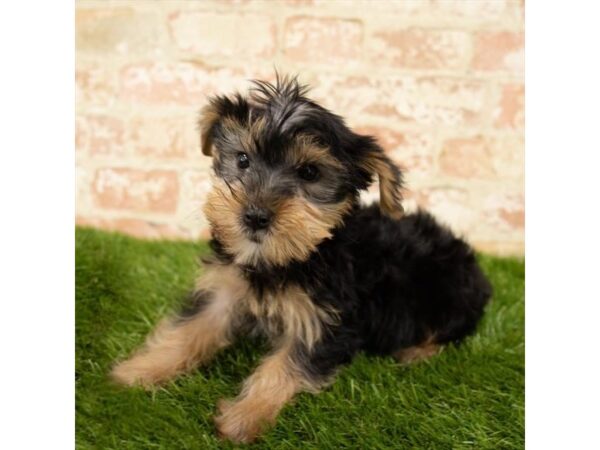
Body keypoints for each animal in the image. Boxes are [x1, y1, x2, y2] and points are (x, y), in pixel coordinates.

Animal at [112, 74, 492, 442]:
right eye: (242, 160)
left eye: (310, 172)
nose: (254, 216)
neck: (286, 258)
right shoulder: (224, 290)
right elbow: (188, 329)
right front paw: (138, 372)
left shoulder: (326, 319)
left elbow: (285, 366)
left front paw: (243, 419)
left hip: (447, 291)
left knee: (453, 327)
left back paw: (416, 352)